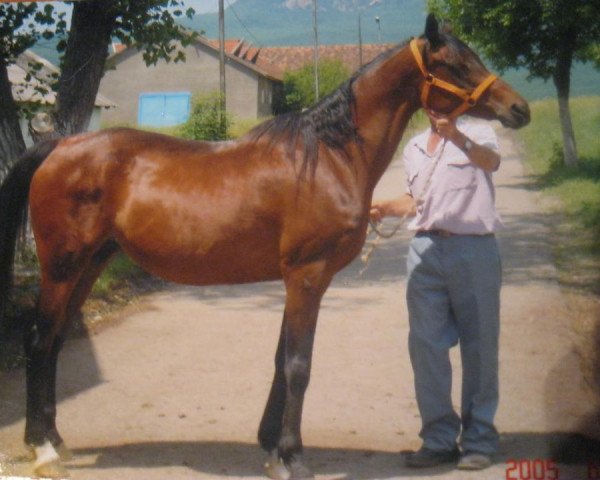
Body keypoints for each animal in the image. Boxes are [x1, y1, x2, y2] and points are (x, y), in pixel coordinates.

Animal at [0, 15, 528, 480]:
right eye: (456, 65)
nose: (519, 109)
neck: (329, 156)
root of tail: (61, 147)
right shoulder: (307, 276)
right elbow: (298, 366)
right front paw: (293, 456)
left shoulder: (297, 279)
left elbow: (280, 360)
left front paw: (271, 447)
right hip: (62, 266)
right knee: (39, 338)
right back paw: (42, 448)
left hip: (90, 265)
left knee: (55, 340)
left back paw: (55, 439)